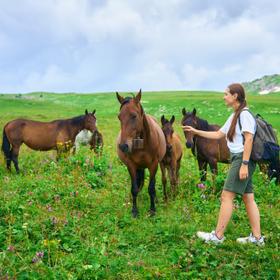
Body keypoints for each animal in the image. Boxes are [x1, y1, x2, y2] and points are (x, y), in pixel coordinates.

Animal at [116, 89, 166, 217]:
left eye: (134, 116)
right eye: (119, 117)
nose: (123, 146)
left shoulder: (153, 165)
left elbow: (151, 188)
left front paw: (152, 210)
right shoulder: (131, 166)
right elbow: (134, 188)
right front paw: (134, 210)